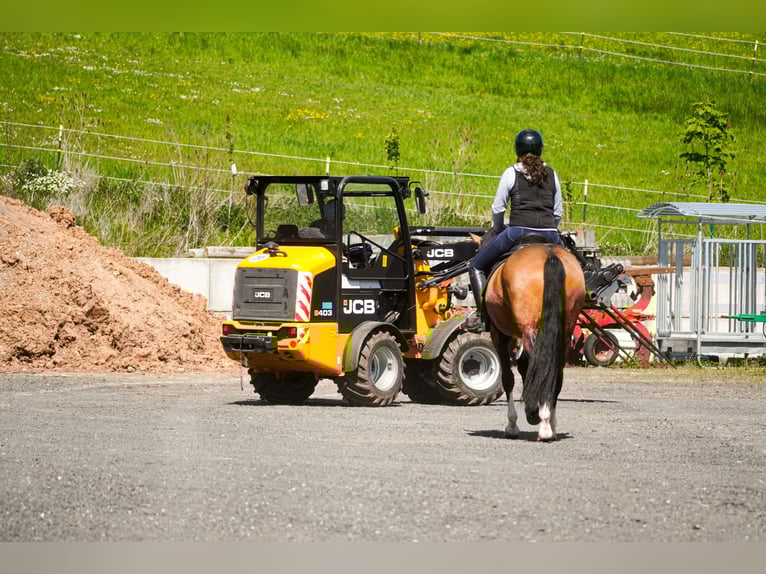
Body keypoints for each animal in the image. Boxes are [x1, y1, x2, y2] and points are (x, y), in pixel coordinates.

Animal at [473, 234, 586, 441]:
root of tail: (549, 254)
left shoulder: (500, 336)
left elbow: (508, 378)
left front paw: (512, 425)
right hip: (564, 332)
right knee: (555, 372)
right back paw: (549, 424)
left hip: (527, 330)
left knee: (537, 363)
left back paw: (541, 421)